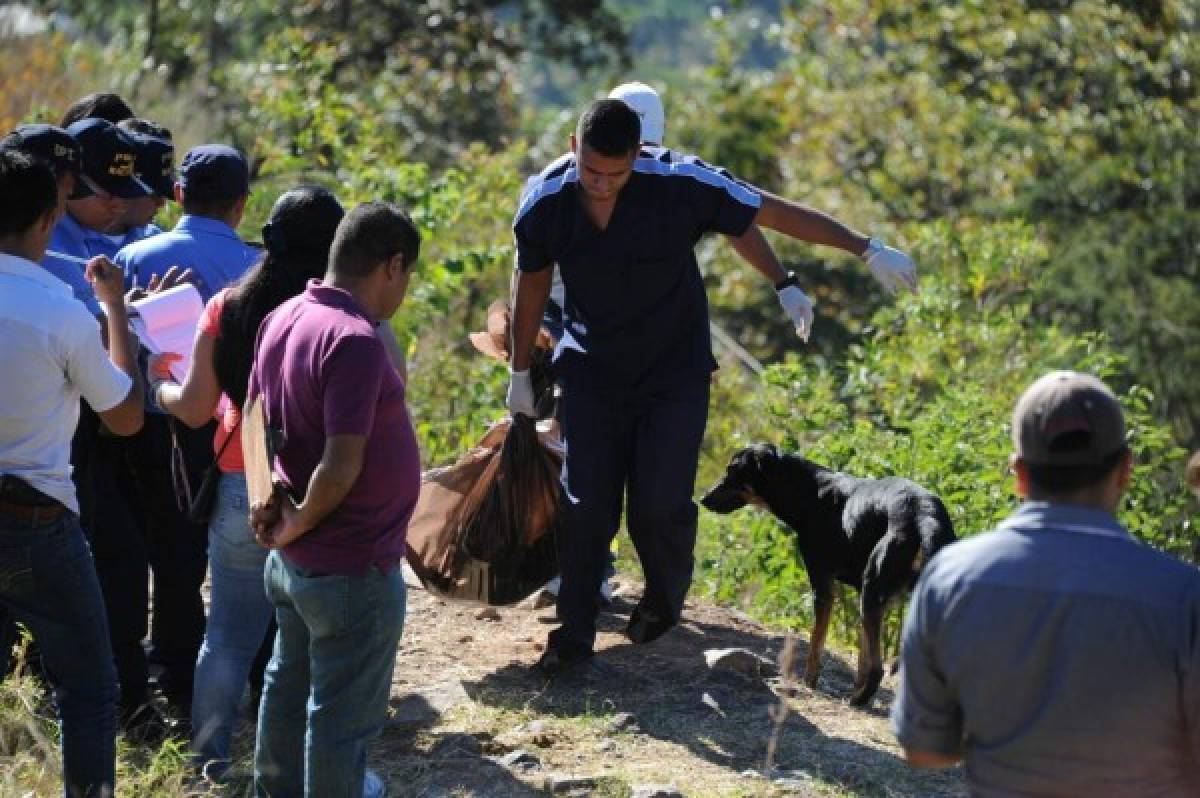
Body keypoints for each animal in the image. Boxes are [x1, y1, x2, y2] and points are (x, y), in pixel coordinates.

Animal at [700, 444, 950, 705]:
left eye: (732, 471)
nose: (703, 499)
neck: (809, 494)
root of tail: (923, 512)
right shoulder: (863, 594)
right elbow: (862, 653)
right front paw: (856, 686)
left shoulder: (823, 586)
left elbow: (816, 642)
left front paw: (809, 682)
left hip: (872, 593)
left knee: (877, 668)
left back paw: (858, 700)